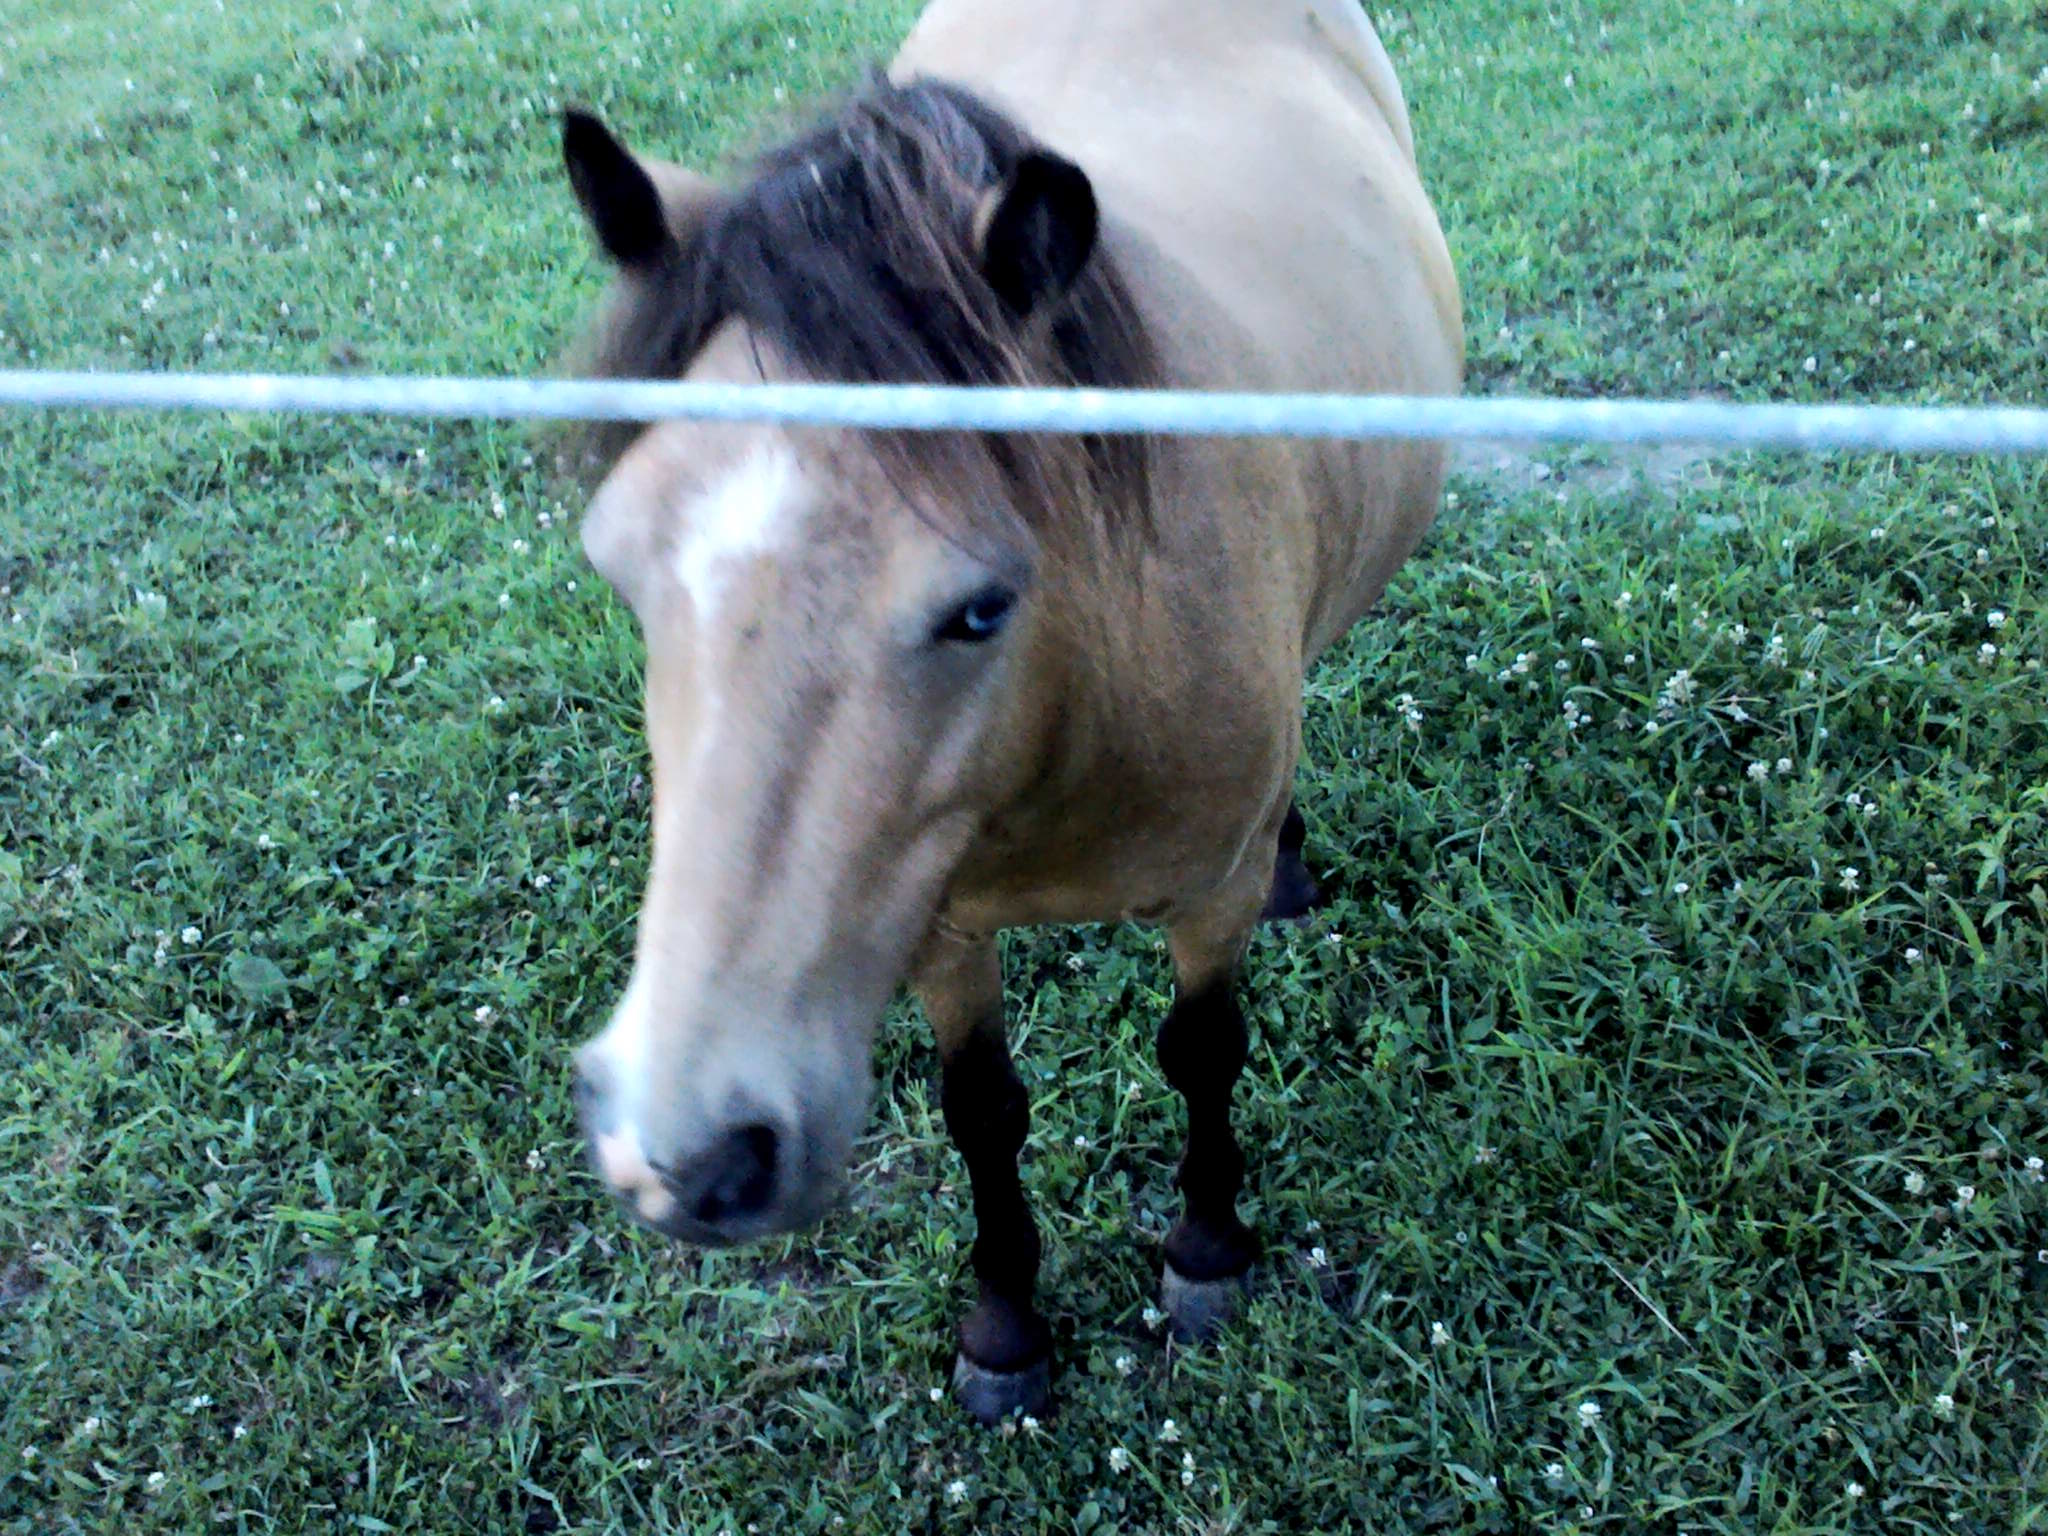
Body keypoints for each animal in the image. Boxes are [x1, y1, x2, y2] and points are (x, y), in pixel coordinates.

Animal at [557, 0, 1458, 1433]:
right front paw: (1004, 1326)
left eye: (979, 608)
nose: (689, 1156)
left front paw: (1207, 1255)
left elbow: (1202, 1051)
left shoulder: (1204, 897)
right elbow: (981, 1109)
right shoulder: (933, 924)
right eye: (616, 565)